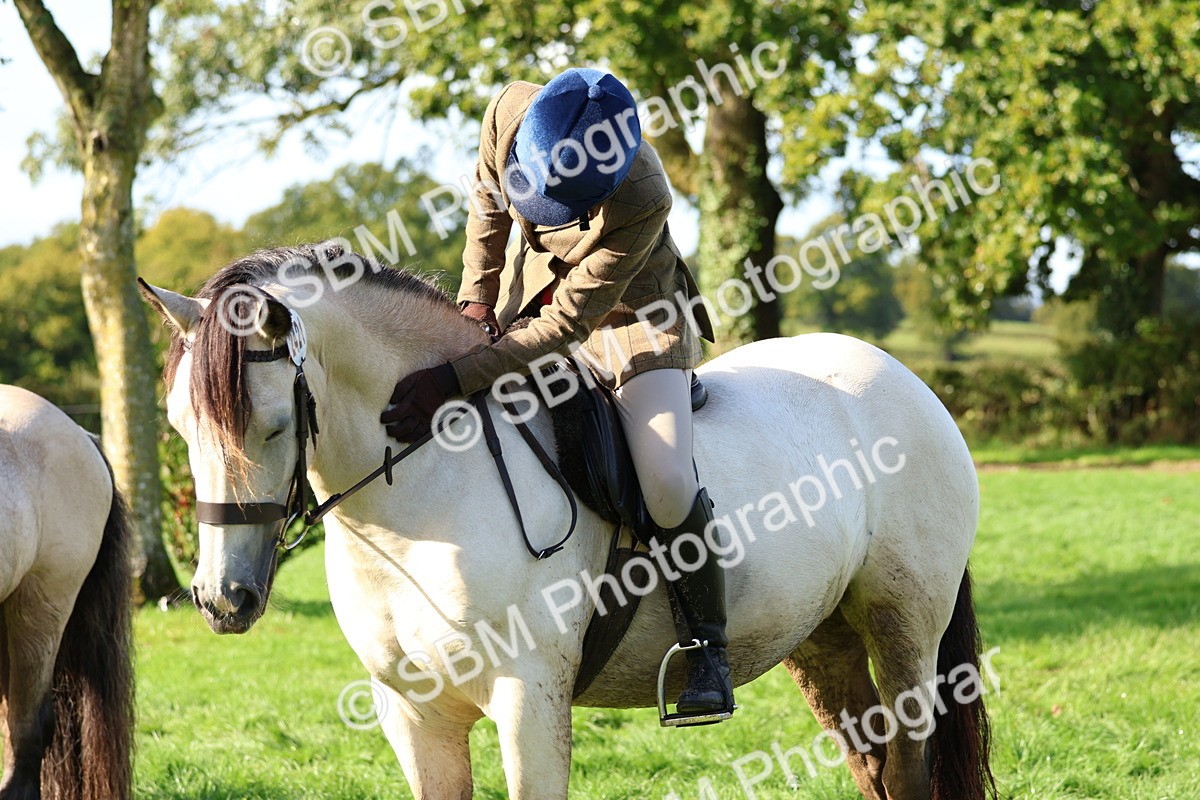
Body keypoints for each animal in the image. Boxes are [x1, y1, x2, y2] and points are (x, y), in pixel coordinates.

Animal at [140, 242, 995, 800]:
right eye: (179, 426)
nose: (222, 600)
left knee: (908, 765)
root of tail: (905, 380)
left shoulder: (528, 700)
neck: (420, 509)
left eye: (275, 426)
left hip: (903, 631)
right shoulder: (413, 715)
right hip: (824, 642)